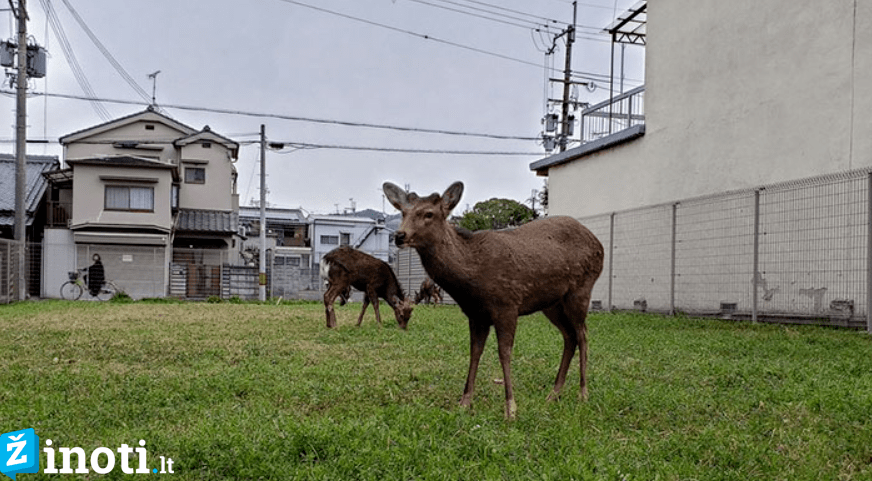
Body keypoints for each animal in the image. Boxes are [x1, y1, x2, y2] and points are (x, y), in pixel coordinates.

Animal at [384, 180, 604, 416]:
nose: (399, 236)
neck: (471, 280)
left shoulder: (507, 304)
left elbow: (504, 352)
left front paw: (511, 408)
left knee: (583, 334)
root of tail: (599, 245)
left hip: (581, 288)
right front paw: (464, 402)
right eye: (403, 212)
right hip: (552, 303)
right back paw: (554, 394)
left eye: (429, 214)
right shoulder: (475, 314)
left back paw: (583, 393)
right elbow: (474, 352)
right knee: (570, 336)